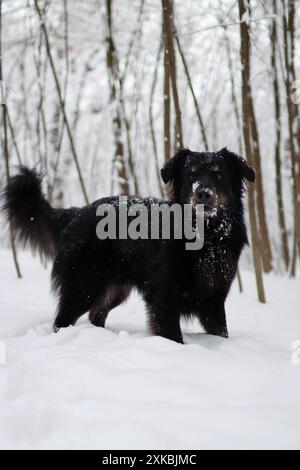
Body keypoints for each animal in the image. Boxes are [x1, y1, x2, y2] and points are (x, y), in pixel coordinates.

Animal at [3, 149, 254, 344]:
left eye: (218, 174)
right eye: (191, 174)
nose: (203, 193)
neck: (206, 237)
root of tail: (76, 213)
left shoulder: (214, 300)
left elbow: (221, 332)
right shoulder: (162, 298)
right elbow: (173, 336)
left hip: (114, 289)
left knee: (96, 314)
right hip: (83, 286)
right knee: (62, 320)